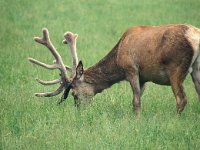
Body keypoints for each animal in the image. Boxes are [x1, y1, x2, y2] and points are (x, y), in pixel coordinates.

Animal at [28, 24, 200, 116]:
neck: (118, 56)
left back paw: (176, 118)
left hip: (176, 68)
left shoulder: (131, 69)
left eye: (74, 94)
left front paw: (136, 121)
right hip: (196, 69)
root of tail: (194, 36)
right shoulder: (143, 77)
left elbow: (136, 101)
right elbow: (139, 97)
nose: (79, 112)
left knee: (181, 98)